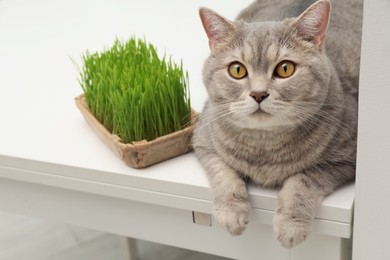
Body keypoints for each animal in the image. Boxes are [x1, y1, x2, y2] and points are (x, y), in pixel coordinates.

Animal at [193, 0, 362, 248]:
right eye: (237, 69)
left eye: (285, 68)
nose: (259, 94)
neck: (265, 146)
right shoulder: (203, 140)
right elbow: (223, 172)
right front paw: (231, 212)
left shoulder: (345, 160)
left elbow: (303, 180)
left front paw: (291, 225)